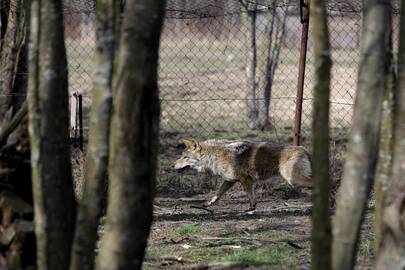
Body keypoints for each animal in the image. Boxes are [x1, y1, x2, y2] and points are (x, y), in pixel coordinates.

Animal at [172, 139, 310, 211]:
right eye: (181, 156)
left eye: (185, 157)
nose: (172, 165)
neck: (214, 157)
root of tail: (304, 149)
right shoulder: (229, 180)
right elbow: (217, 195)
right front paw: (207, 204)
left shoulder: (246, 180)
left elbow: (250, 196)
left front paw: (251, 209)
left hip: (292, 179)